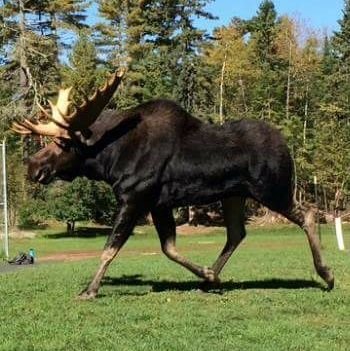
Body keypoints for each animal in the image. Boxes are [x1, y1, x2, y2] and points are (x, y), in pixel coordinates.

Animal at [13, 69, 334, 300]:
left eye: (64, 143)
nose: (33, 166)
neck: (109, 159)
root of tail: (287, 146)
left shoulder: (133, 198)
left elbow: (109, 249)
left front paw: (90, 290)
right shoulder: (159, 204)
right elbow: (169, 248)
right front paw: (207, 274)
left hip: (271, 188)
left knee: (308, 214)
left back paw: (327, 274)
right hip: (234, 194)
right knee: (237, 233)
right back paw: (209, 281)